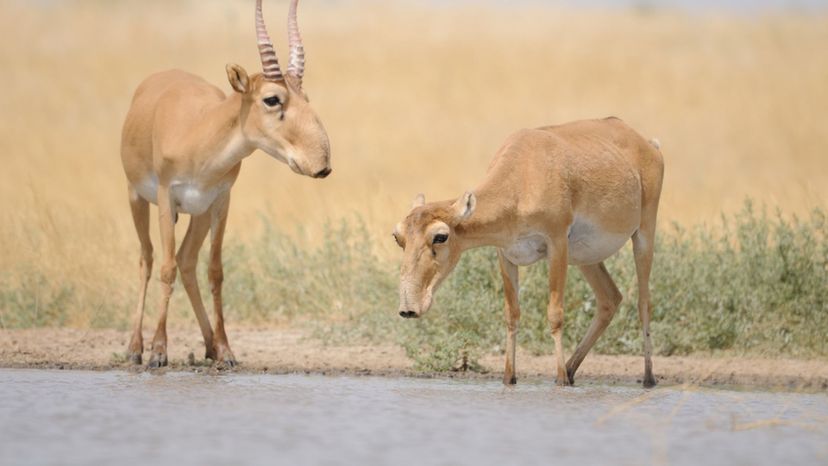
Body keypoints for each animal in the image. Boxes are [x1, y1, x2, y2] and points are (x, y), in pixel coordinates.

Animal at [123, 0, 330, 370]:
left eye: (304, 96)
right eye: (272, 99)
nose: (321, 163)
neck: (198, 132)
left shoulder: (221, 201)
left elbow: (215, 271)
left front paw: (227, 350)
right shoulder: (165, 197)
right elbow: (165, 268)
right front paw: (159, 352)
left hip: (199, 214)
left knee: (188, 260)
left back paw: (209, 346)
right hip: (137, 198)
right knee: (148, 259)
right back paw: (135, 348)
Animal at [396, 118, 668, 388]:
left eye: (440, 236)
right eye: (398, 237)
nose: (409, 308)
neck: (523, 176)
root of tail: (649, 145)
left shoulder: (557, 244)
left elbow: (555, 313)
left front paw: (559, 379)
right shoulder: (506, 254)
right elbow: (511, 313)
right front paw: (509, 378)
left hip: (643, 235)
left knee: (644, 302)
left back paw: (647, 377)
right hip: (586, 259)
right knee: (610, 298)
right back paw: (571, 369)